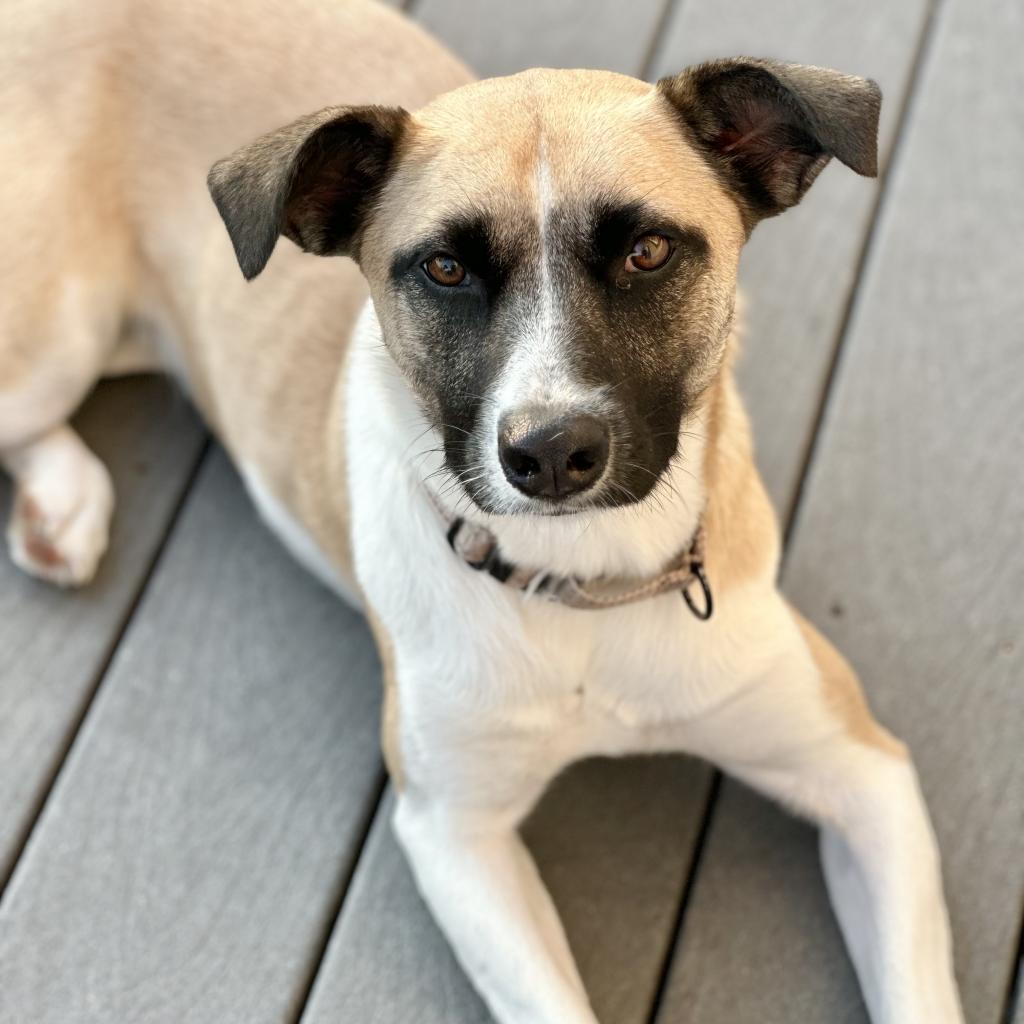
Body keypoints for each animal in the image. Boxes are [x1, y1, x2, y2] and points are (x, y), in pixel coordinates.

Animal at [0, 0, 962, 1019]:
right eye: (446, 269)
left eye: (648, 251)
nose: (551, 454)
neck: (585, 588)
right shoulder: (453, 831)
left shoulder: (864, 773)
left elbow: (919, 992)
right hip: (53, 340)